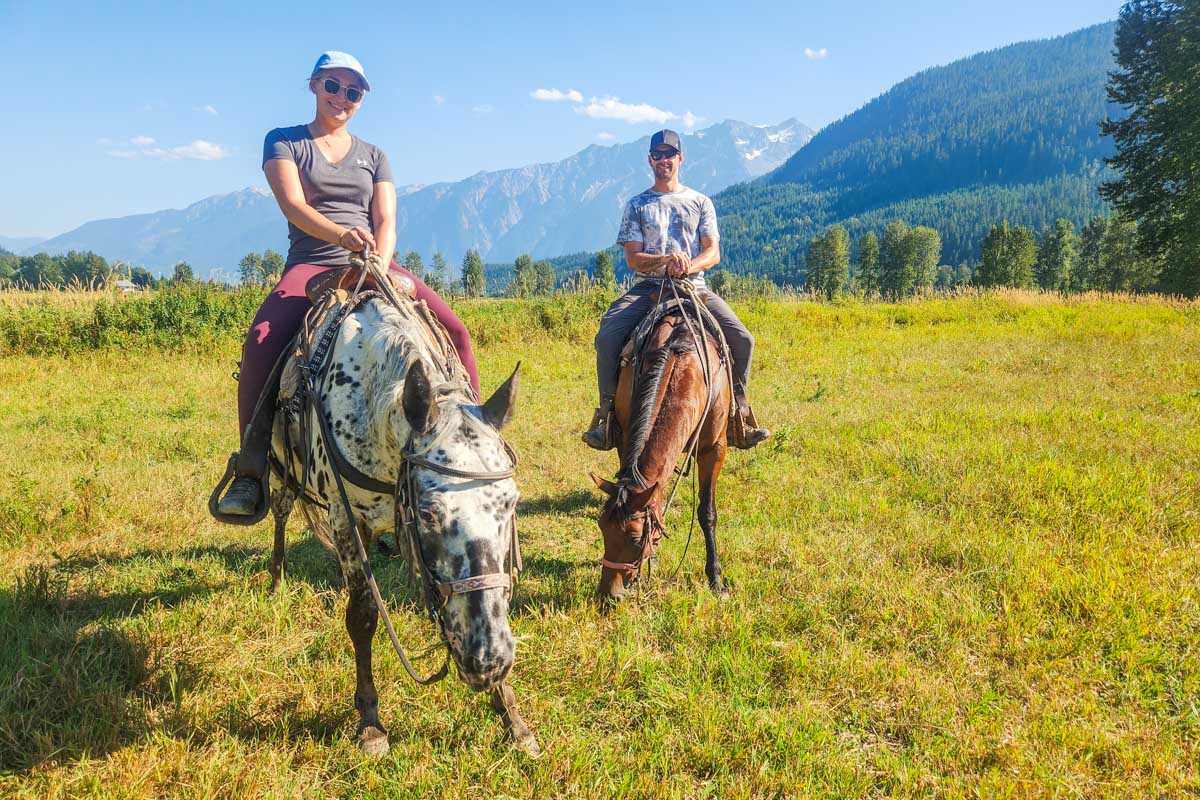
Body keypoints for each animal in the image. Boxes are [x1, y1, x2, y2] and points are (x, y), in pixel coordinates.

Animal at [265, 281, 539, 756]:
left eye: (511, 504)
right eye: (428, 513)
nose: (488, 659)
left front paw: (511, 715)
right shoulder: (345, 520)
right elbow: (362, 618)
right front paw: (371, 723)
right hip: (282, 472)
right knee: (281, 514)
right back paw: (277, 578)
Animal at [590, 282, 733, 603]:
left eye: (634, 538)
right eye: (601, 528)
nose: (609, 594)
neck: (682, 354)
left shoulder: (713, 449)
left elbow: (707, 512)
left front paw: (715, 578)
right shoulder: (626, 436)